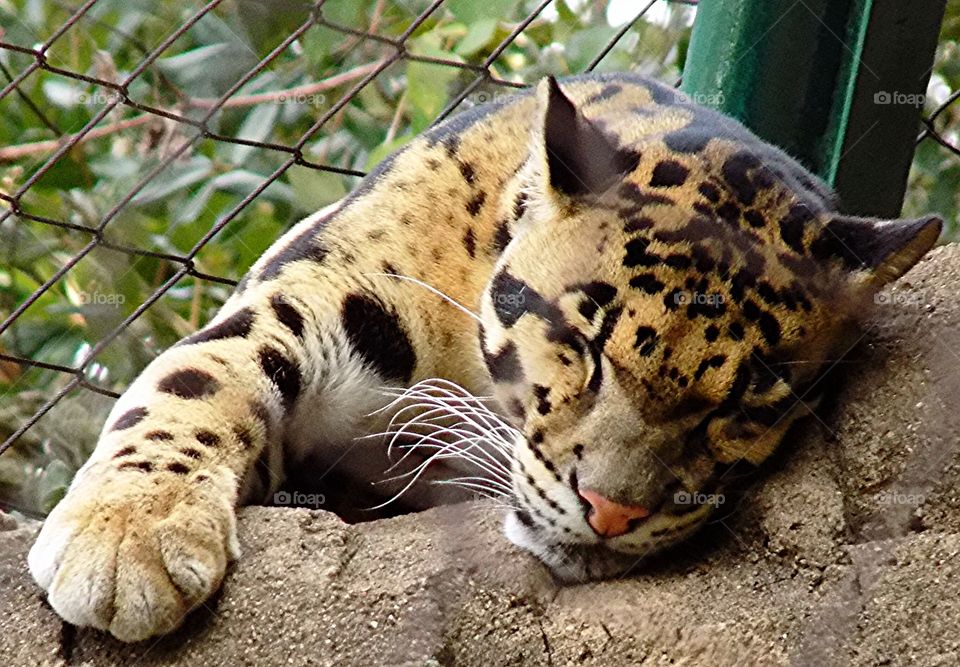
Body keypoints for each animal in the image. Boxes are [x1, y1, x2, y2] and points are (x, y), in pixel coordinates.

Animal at [27, 71, 941, 642]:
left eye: (749, 398)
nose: (613, 511)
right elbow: (206, 371)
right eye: (581, 342)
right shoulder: (329, 282)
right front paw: (129, 531)